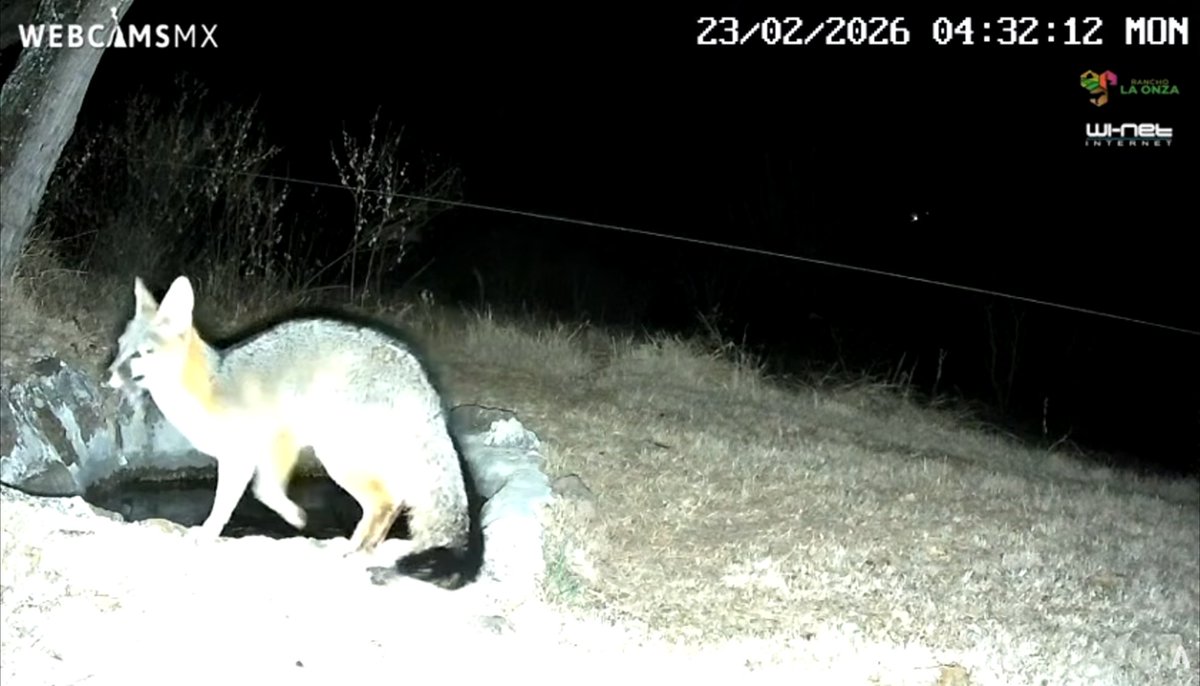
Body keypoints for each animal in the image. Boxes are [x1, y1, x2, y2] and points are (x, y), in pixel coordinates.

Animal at [105, 274, 476, 588]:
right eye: (120, 348)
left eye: (139, 355)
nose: (107, 377)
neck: (209, 387)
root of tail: (416, 372)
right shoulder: (248, 456)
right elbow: (249, 495)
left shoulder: (273, 441)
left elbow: (250, 495)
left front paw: (288, 519)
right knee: (393, 500)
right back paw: (357, 547)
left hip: (335, 454)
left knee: (385, 501)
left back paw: (355, 551)